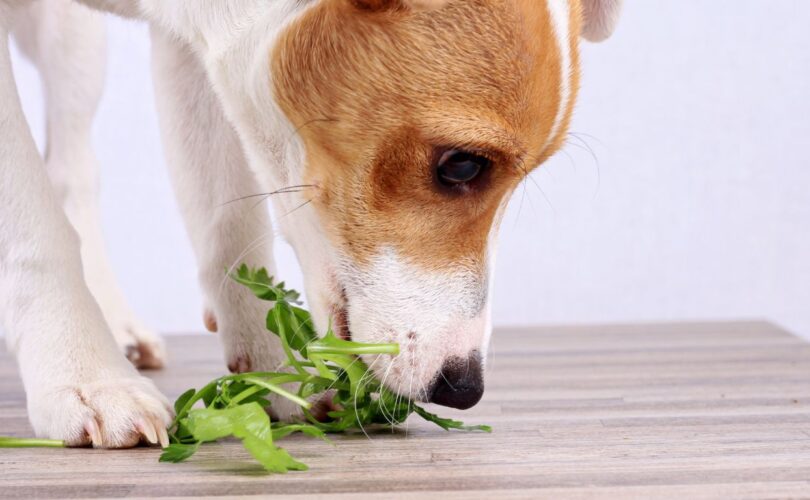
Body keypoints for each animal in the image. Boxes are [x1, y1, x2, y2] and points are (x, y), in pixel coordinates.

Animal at [0, 0, 620, 446]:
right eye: (463, 164)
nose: (464, 389)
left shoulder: (189, 48)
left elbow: (228, 217)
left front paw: (269, 371)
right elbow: (34, 226)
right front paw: (84, 376)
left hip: (74, 46)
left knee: (75, 166)